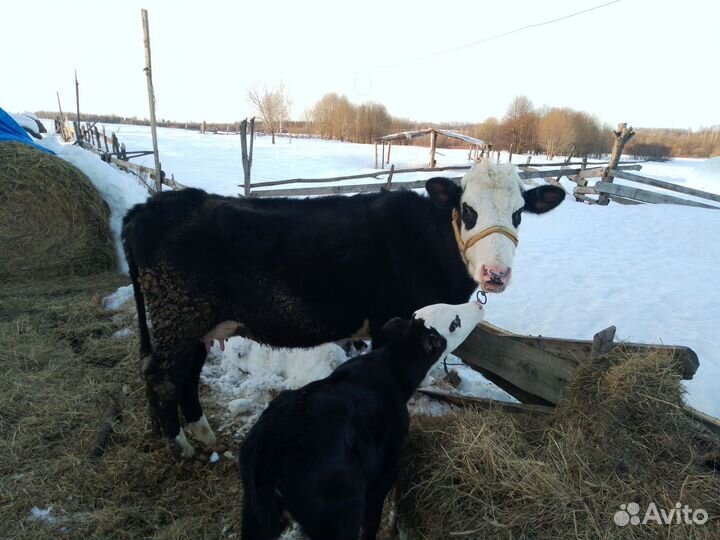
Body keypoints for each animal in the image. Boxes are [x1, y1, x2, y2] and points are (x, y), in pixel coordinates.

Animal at [121, 159, 564, 457]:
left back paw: (203, 433)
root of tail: (151, 207)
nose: (496, 273)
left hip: (197, 325)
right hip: (176, 319)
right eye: (468, 210)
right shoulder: (390, 322)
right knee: (162, 378)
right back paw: (180, 445)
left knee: (187, 374)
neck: (431, 242)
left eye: (519, 213)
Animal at [240, 301, 486, 540]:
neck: (390, 368)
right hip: (340, 514)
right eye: (454, 323)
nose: (479, 304)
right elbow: (371, 523)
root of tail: (270, 446)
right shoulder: (384, 473)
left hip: (254, 514)